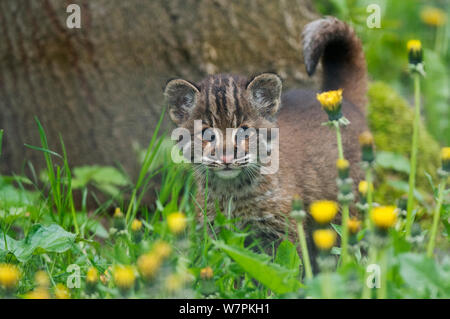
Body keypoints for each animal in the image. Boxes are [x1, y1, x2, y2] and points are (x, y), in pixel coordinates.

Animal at [165, 16, 370, 260]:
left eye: (244, 131)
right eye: (207, 134)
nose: (226, 158)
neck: (231, 190)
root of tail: (343, 100)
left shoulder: (281, 230)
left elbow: (287, 263)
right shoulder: (214, 230)